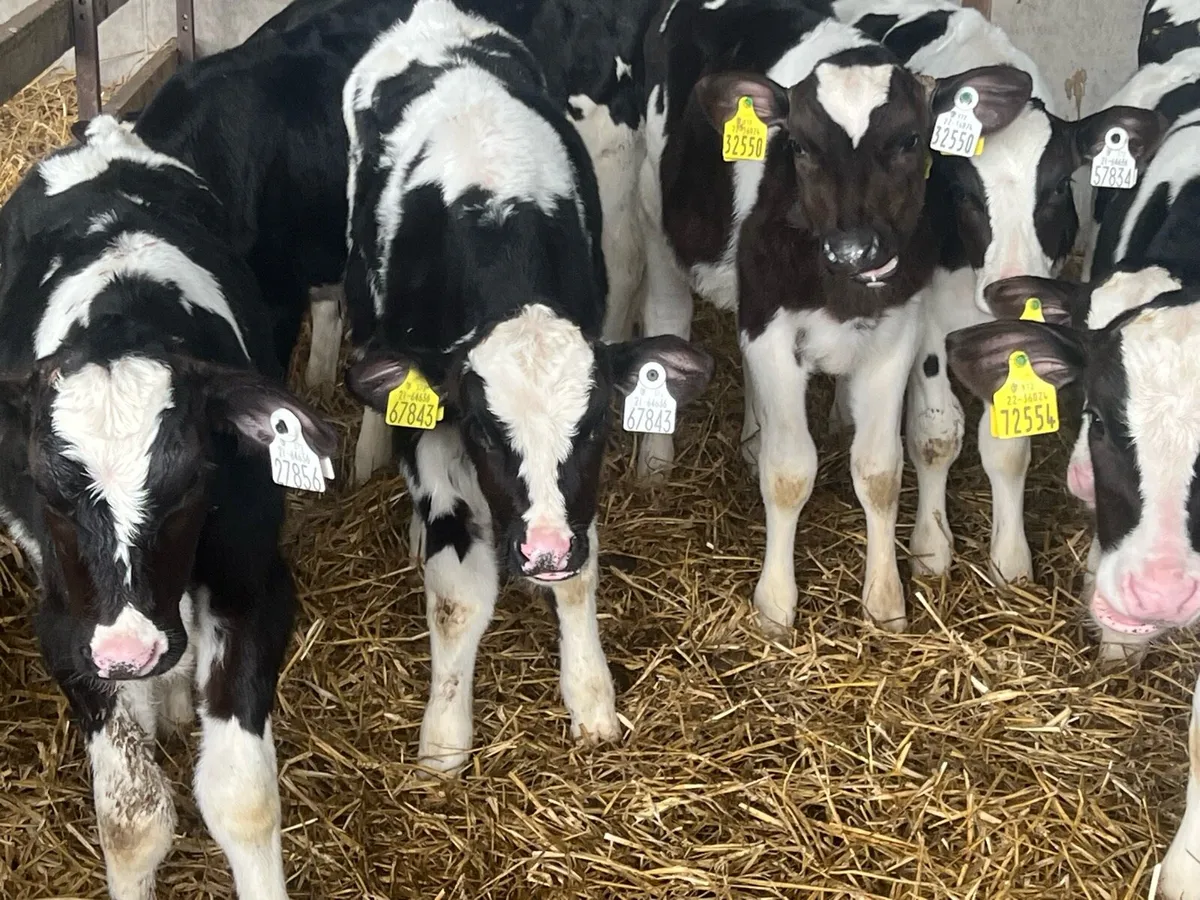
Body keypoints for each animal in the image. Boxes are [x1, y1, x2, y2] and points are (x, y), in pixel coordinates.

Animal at [0, 116, 338, 900]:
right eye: (51, 492)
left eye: (189, 484)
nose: (130, 651)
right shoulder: (66, 626)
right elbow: (133, 820)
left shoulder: (255, 587)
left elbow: (241, 799)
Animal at [340, 0, 713, 775]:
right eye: (484, 428)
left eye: (597, 424)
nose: (542, 550)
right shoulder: (435, 432)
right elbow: (456, 596)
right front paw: (444, 737)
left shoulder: (575, 498)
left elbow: (580, 577)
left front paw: (591, 696)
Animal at [633, 0, 1032, 634]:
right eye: (797, 146)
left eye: (911, 139)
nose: (854, 249)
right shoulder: (771, 324)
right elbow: (790, 470)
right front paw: (775, 606)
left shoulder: (895, 332)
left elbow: (880, 470)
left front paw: (885, 603)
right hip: (658, 215)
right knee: (668, 314)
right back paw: (654, 464)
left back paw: (751, 436)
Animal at [829, 0, 1165, 584]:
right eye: (960, 192)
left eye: (1056, 187)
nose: (1005, 281)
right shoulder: (926, 317)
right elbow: (935, 435)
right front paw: (931, 547)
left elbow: (1007, 448)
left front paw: (1010, 558)